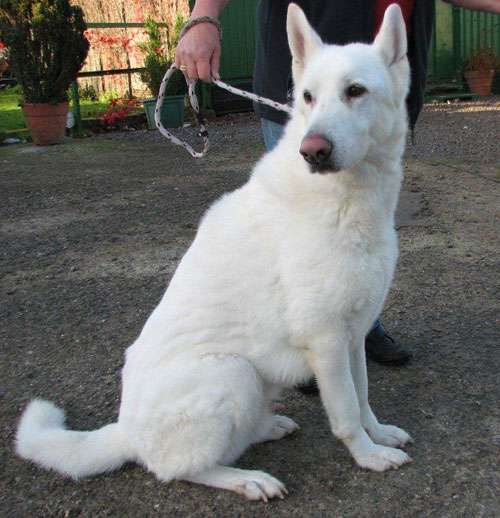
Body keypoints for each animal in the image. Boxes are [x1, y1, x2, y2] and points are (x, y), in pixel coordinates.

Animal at [16, 2, 414, 502]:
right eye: (307, 97)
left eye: (355, 91)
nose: (313, 151)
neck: (349, 200)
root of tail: (126, 432)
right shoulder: (326, 341)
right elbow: (344, 414)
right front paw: (367, 456)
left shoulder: (354, 335)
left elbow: (362, 399)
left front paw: (378, 435)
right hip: (234, 373)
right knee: (179, 469)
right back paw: (247, 479)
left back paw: (267, 428)